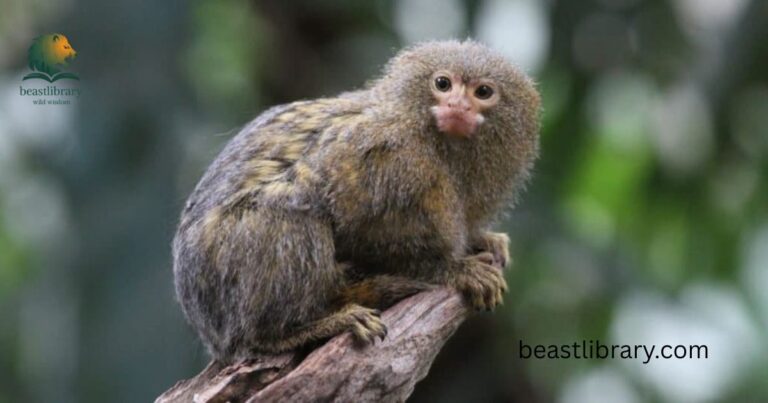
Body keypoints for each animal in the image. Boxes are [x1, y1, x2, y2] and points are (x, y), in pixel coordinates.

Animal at [172, 40, 540, 363]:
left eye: (483, 92)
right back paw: (297, 330)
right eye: (442, 84)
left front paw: (484, 239)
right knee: (287, 215)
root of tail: (209, 332)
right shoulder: (383, 154)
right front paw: (452, 270)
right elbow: (350, 225)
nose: (458, 106)